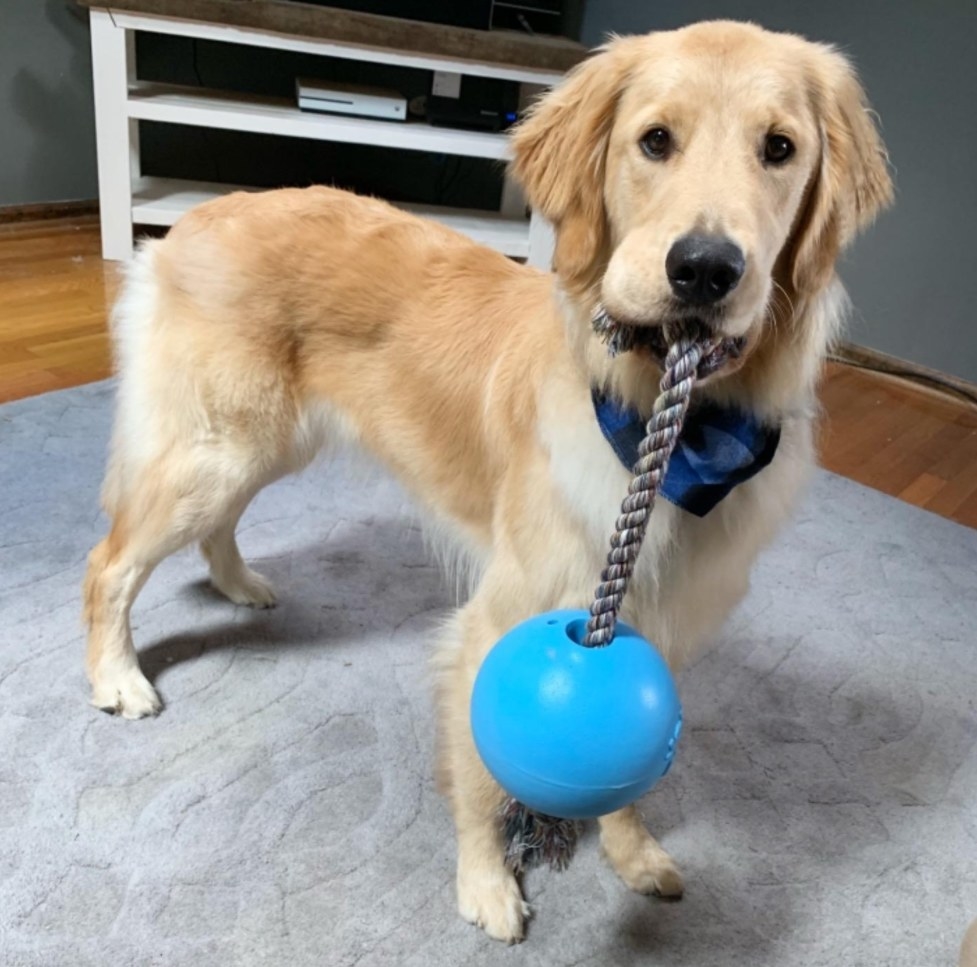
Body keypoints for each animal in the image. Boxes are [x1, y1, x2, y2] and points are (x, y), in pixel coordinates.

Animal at [84, 20, 892, 944]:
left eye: (779, 149)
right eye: (654, 140)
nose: (704, 269)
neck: (670, 422)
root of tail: (189, 220)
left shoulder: (663, 622)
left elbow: (637, 761)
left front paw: (632, 849)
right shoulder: (500, 620)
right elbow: (479, 770)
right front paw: (485, 882)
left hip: (264, 444)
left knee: (212, 526)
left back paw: (238, 582)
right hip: (217, 447)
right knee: (108, 564)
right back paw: (117, 677)